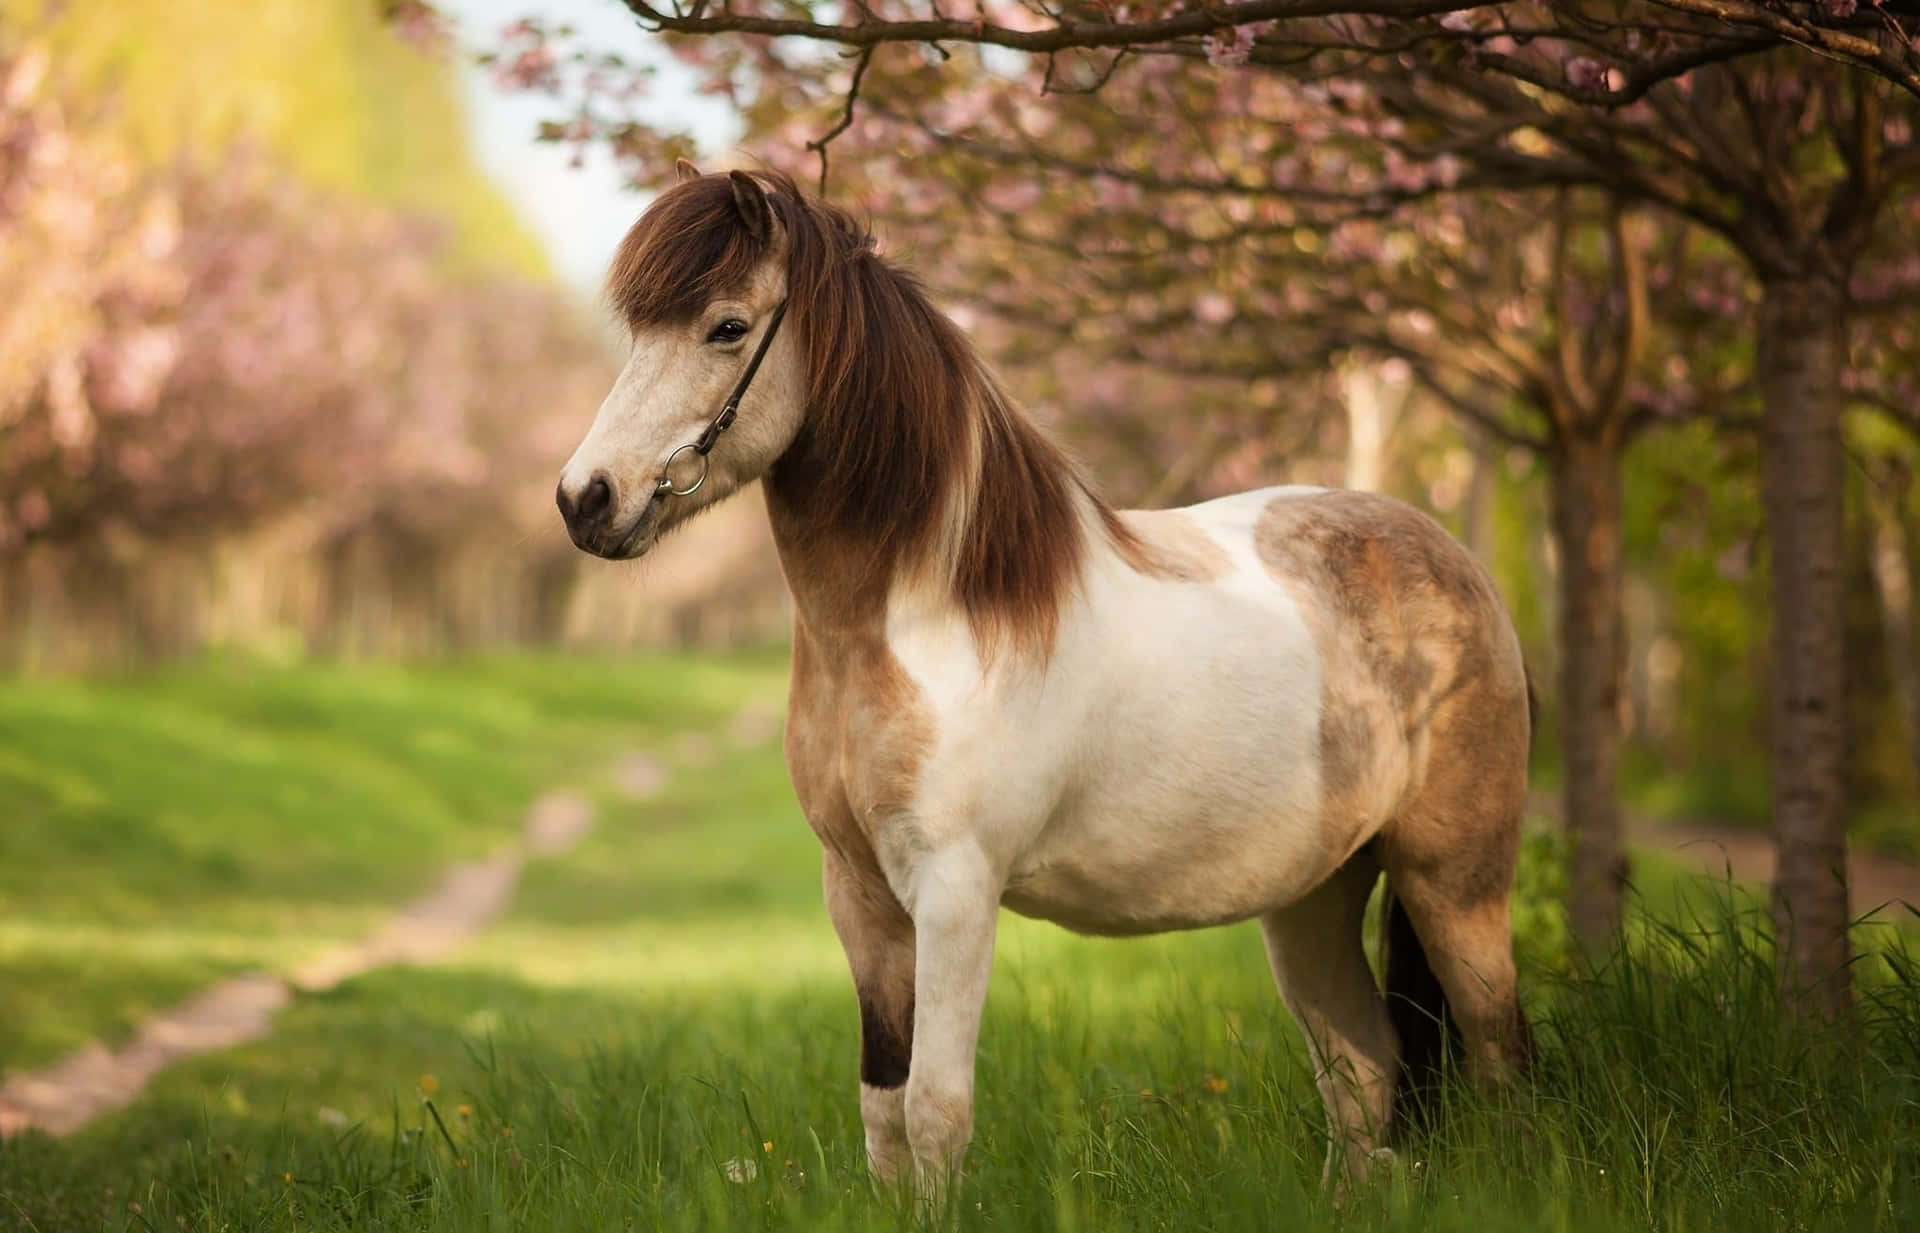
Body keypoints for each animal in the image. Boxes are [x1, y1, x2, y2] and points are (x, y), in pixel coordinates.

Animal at [555, 164, 1534, 1193]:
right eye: (642, 331)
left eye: (727, 326)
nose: (586, 499)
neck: (927, 618)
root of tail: (1456, 566)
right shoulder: (859, 897)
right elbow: (883, 1115)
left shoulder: (954, 890)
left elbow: (936, 1111)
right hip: (1317, 893)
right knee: (1362, 1071)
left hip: (1456, 884)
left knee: (1496, 1051)